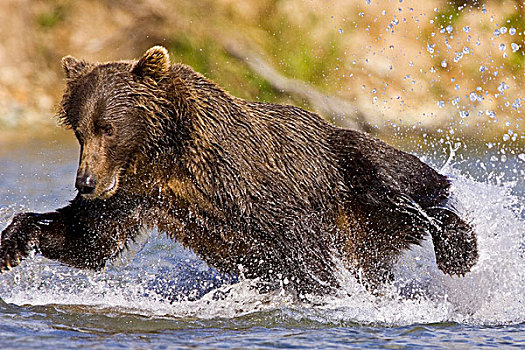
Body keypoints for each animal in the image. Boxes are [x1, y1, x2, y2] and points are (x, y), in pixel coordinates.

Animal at [0, 45, 474, 294]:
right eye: (78, 129)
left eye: (108, 127)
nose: (86, 182)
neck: (165, 156)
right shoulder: (137, 193)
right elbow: (89, 239)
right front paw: (12, 245)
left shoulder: (236, 173)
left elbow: (297, 235)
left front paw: (326, 287)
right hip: (371, 234)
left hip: (349, 164)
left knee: (410, 188)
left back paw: (459, 250)